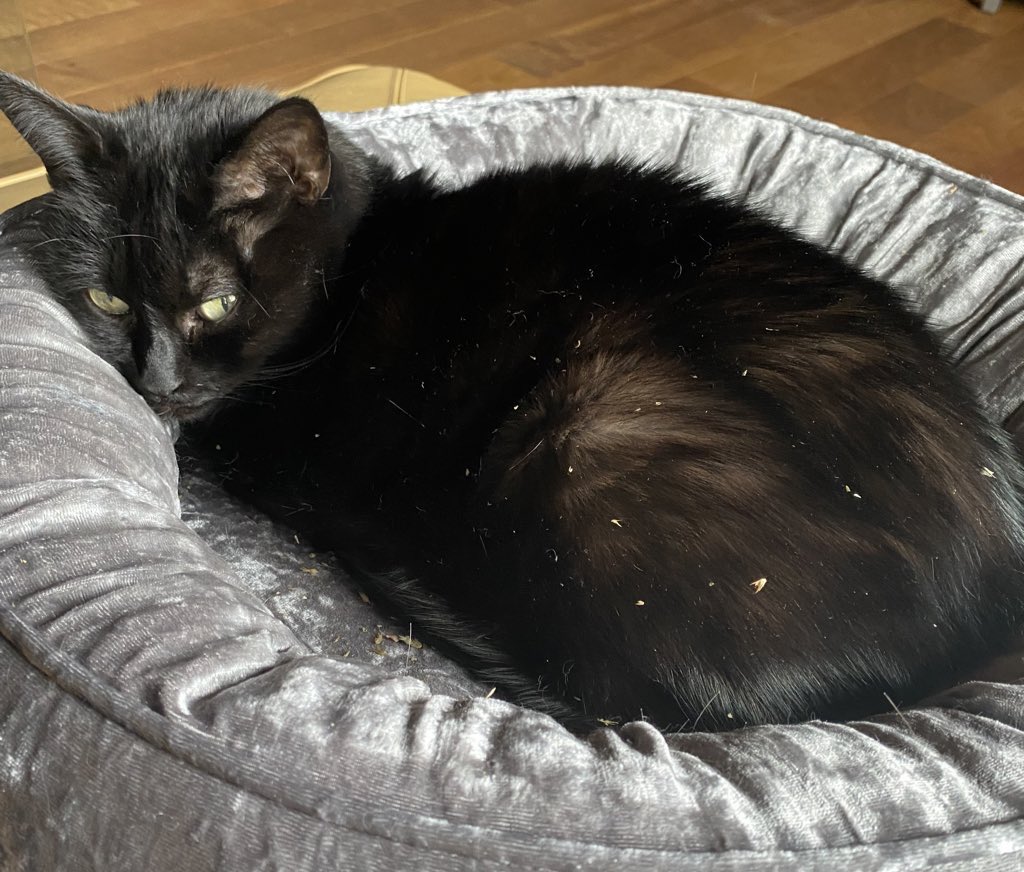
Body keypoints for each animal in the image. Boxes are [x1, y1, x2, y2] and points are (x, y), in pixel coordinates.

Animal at [2, 71, 1024, 732]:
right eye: (107, 301)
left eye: (214, 303)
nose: (157, 381)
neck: (353, 271)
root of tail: (972, 624)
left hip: (591, 425)